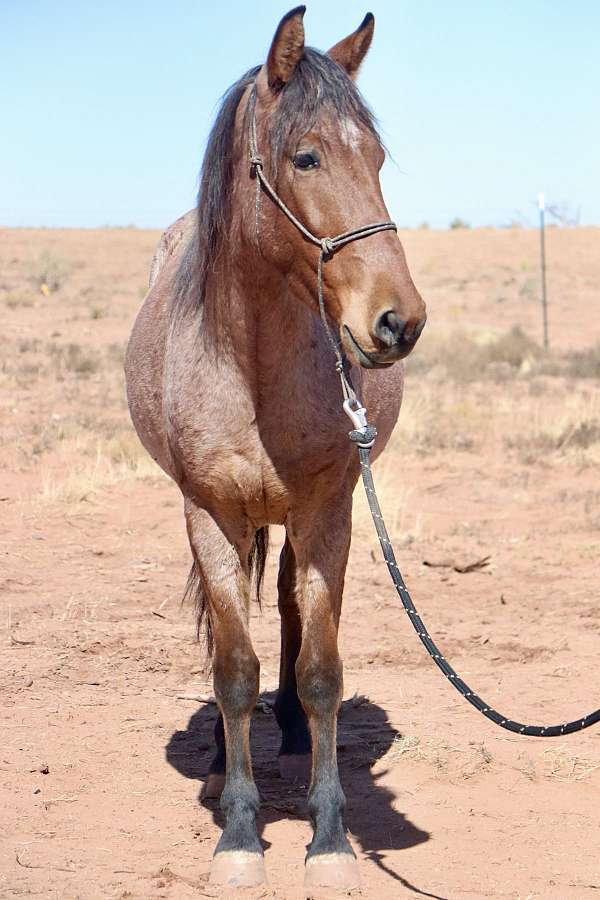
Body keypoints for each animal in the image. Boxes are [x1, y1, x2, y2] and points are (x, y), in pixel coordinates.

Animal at [126, 7, 426, 888]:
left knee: (291, 613)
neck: (253, 362)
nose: (399, 321)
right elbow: (233, 671)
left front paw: (329, 841)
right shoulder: (211, 516)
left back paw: (288, 732)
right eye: (307, 156)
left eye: (377, 157)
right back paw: (225, 762)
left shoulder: (331, 511)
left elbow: (321, 669)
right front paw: (237, 835)